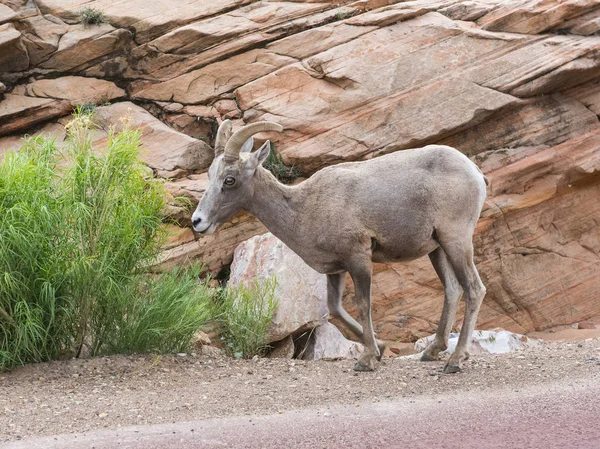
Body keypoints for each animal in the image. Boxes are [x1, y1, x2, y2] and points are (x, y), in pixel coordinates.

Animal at [192, 121, 488, 372]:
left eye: (230, 179)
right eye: (210, 174)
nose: (198, 221)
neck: (304, 209)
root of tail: (474, 173)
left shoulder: (359, 258)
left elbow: (363, 304)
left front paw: (366, 360)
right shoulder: (336, 269)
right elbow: (335, 308)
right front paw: (379, 349)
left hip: (456, 240)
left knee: (474, 289)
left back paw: (455, 360)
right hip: (437, 249)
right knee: (452, 290)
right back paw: (432, 352)